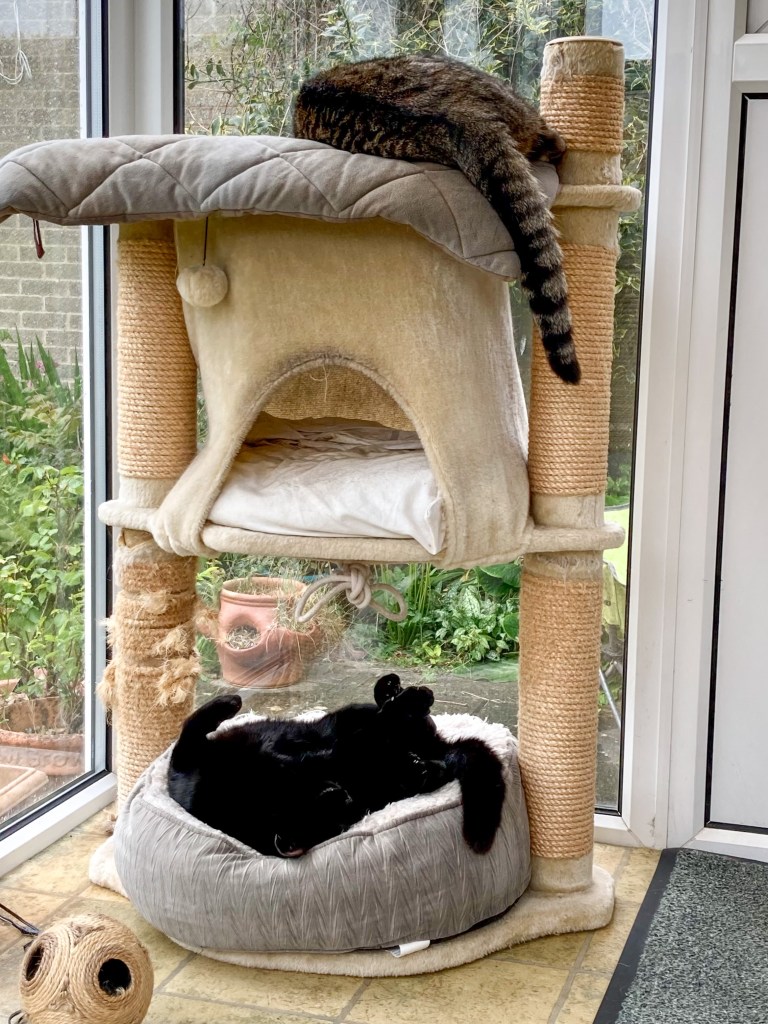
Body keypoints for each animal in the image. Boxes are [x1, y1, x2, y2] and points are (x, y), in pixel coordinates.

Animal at [168, 673, 506, 857]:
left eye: (334, 796)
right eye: (339, 812)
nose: (343, 791)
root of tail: (435, 744)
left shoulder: (190, 763)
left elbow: (191, 724)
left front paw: (228, 703)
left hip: (346, 715)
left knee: (391, 712)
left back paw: (398, 691)